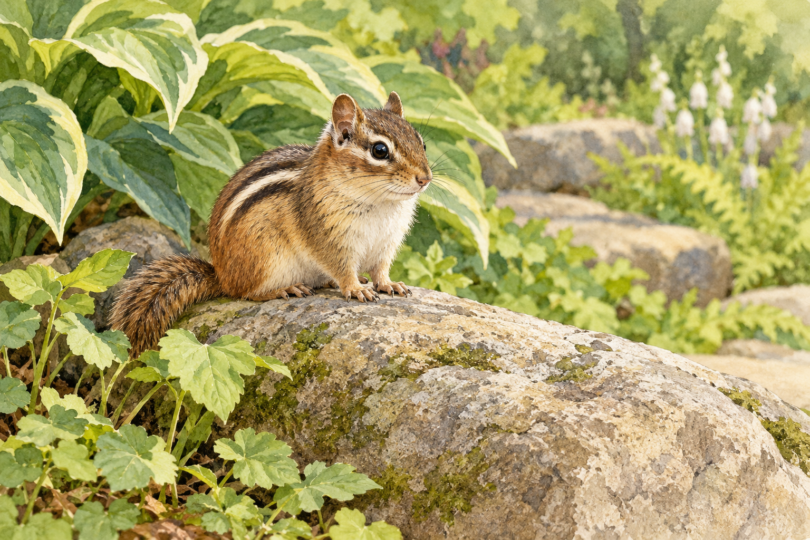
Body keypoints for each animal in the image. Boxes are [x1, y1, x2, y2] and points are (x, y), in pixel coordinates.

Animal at [110, 91, 432, 358]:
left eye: (422, 142)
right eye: (380, 151)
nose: (425, 178)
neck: (382, 204)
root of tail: (221, 275)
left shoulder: (386, 242)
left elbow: (380, 269)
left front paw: (388, 284)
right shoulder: (327, 236)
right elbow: (342, 267)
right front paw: (355, 288)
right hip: (265, 260)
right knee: (245, 292)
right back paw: (284, 290)